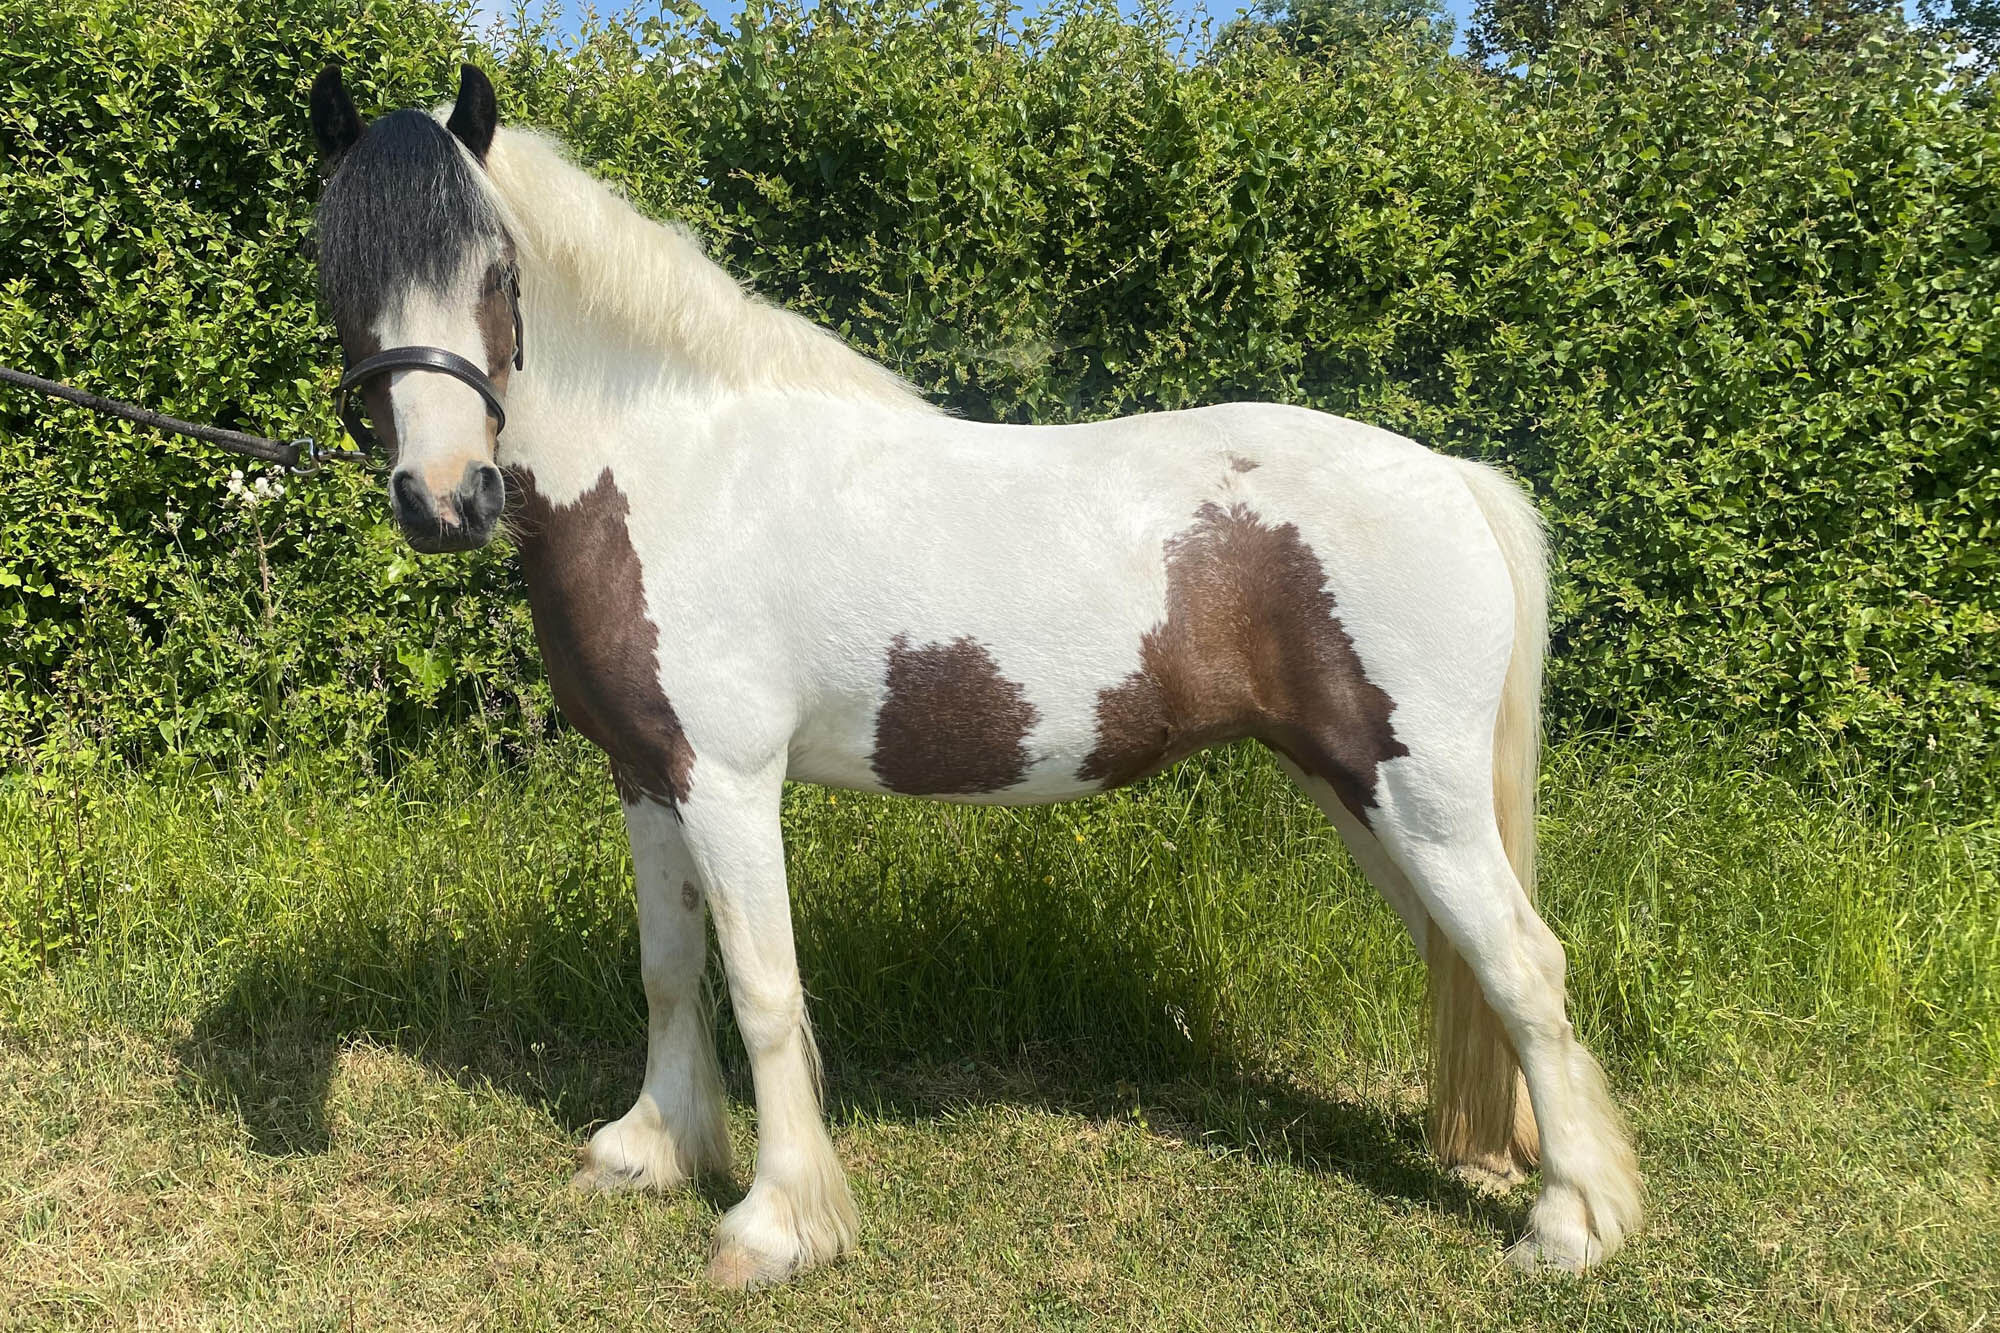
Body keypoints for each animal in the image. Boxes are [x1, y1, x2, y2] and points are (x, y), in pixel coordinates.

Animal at [300, 65, 1640, 1288]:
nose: (446, 497)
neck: (678, 469)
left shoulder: (728, 782)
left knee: (1524, 963)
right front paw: (651, 1150)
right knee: (1466, 960)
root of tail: (1449, 475)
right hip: (1358, 790)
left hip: (1417, 795)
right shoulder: (646, 775)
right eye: (337, 270)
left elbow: (764, 990)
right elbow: (670, 970)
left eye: (498, 270)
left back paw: (1572, 1223)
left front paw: (778, 1226)